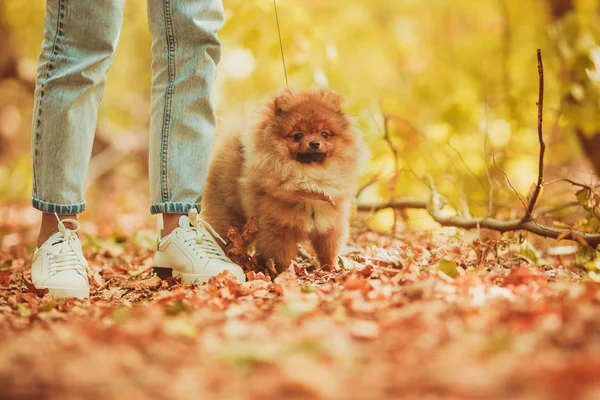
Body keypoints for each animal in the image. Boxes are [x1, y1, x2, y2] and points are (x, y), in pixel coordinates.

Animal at [203, 88, 366, 272]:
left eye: (324, 134)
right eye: (298, 135)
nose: (314, 143)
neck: (310, 178)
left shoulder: (331, 224)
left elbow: (328, 250)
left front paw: (330, 268)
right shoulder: (277, 228)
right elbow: (279, 256)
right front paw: (283, 272)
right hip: (229, 216)